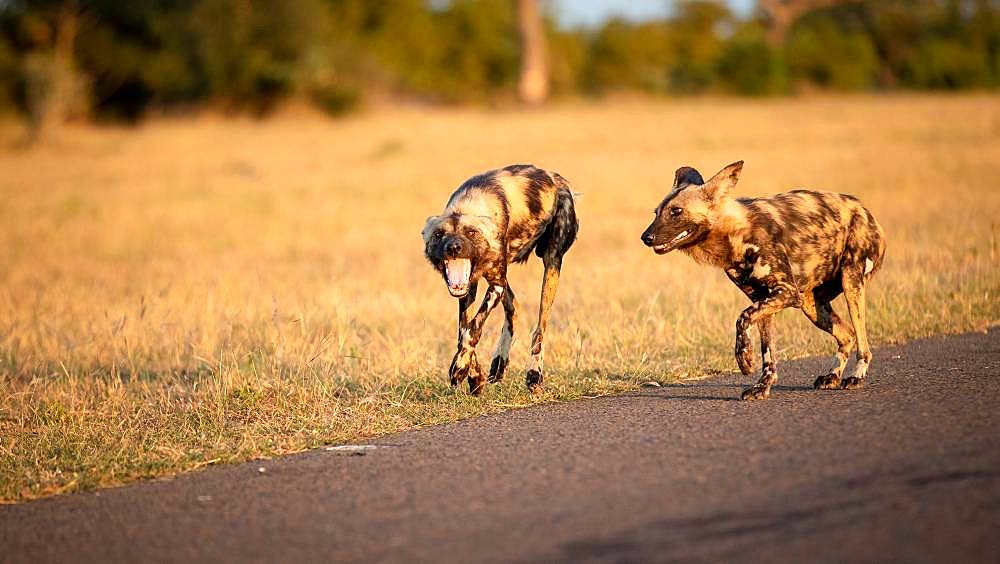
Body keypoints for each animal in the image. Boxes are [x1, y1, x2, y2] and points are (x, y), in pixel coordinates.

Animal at [422, 165, 580, 394]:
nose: (453, 247)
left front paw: (460, 367)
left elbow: (472, 329)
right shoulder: (470, 288)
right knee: (514, 308)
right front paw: (474, 375)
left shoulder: (495, 285)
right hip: (503, 281)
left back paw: (534, 374)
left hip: (551, 263)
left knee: (540, 328)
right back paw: (499, 363)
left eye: (471, 232)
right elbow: (464, 330)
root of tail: (557, 178)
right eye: (438, 235)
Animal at [640, 162, 884, 400]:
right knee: (848, 335)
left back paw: (856, 377)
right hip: (812, 305)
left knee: (862, 342)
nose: (645, 238)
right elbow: (768, 352)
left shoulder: (785, 292)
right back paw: (832, 376)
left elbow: (742, 318)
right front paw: (762, 386)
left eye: (676, 211)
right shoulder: (763, 299)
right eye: (656, 213)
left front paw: (744, 360)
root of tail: (864, 209)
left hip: (850, 283)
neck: (734, 235)